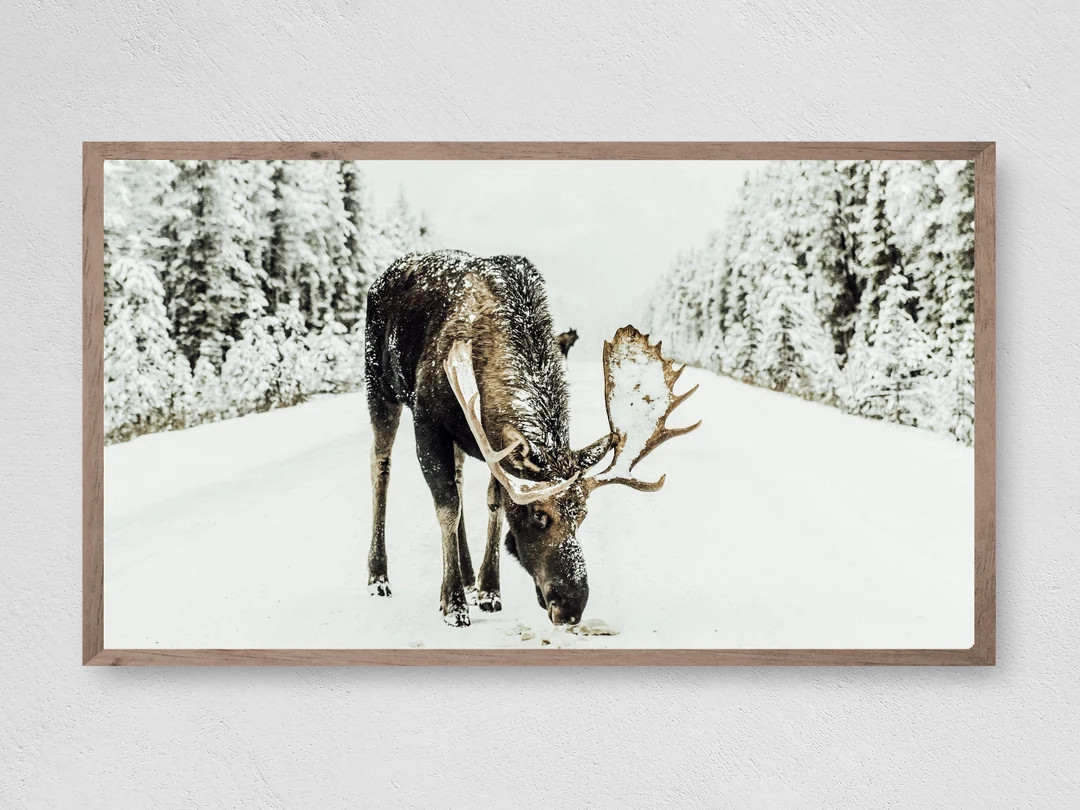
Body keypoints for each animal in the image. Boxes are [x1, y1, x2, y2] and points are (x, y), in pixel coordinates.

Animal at [363, 250, 700, 627]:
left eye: (583, 515)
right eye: (540, 514)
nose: (570, 607)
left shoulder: (490, 444)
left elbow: (493, 503)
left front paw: (489, 590)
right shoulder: (428, 419)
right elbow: (447, 506)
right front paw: (453, 604)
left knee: (459, 479)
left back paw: (468, 574)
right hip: (380, 387)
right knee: (381, 467)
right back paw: (378, 576)